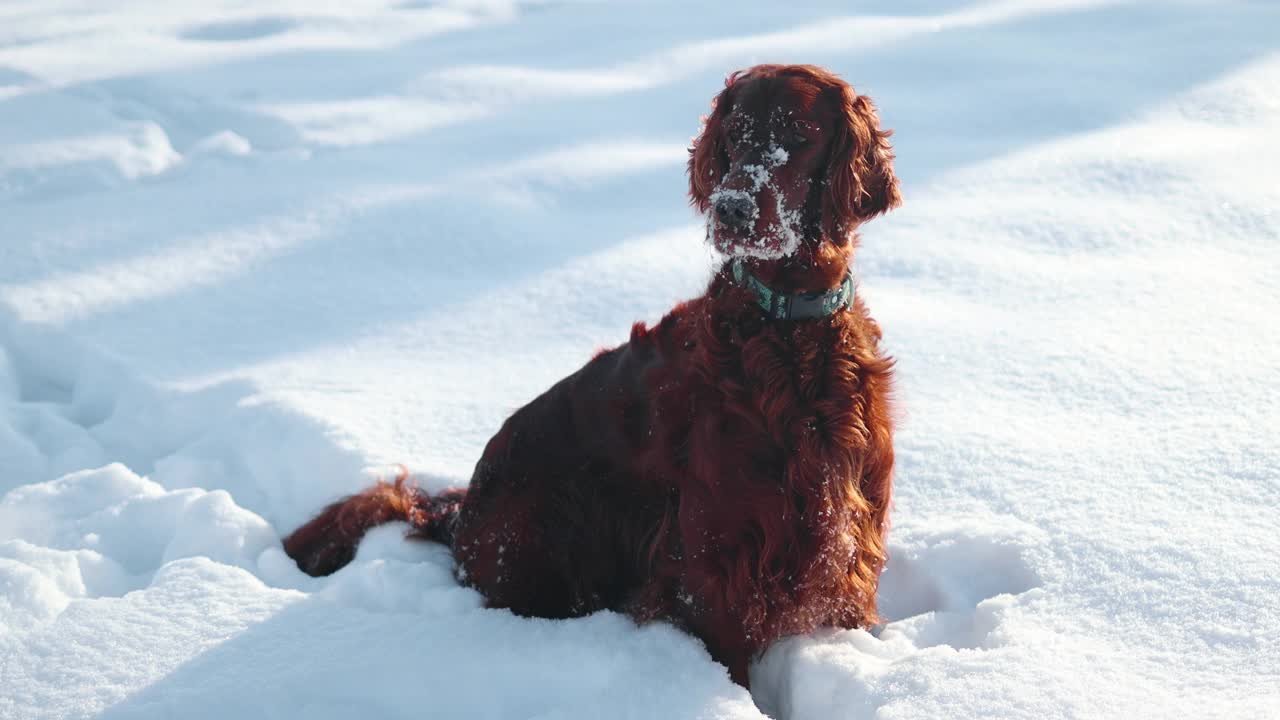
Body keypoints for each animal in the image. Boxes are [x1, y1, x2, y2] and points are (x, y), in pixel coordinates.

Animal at [282, 63, 901, 681]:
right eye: (735, 133)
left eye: (798, 133)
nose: (731, 209)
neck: (788, 331)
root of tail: (460, 519)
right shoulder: (720, 554)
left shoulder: (852, 522)